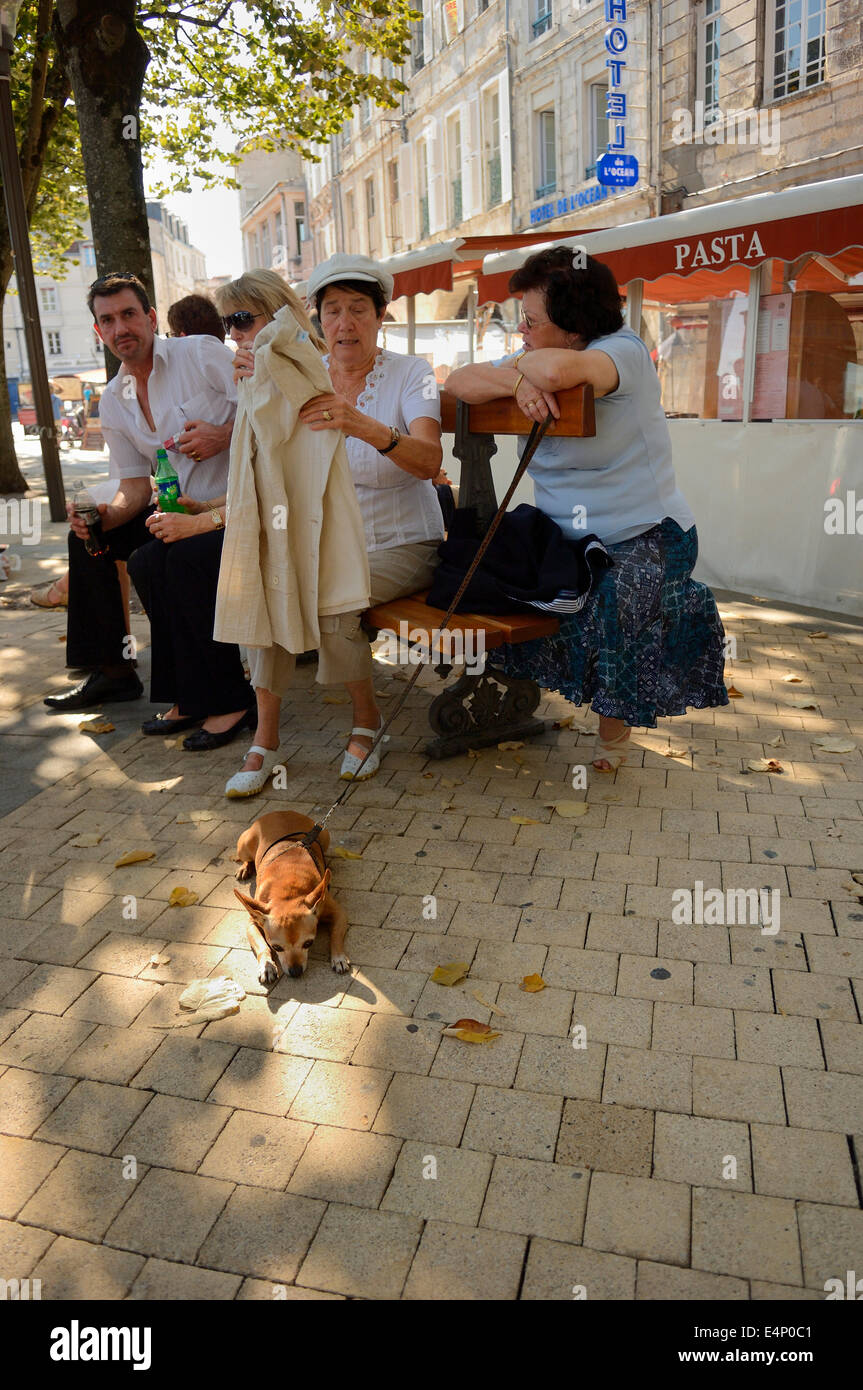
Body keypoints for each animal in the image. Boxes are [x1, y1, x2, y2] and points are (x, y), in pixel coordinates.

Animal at [233, 811, 348, 984]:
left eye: (308, 943)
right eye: (276, 947)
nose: (295, 971)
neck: (288, 893)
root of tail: (281, 811)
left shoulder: (338, 913)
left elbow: (336, 934)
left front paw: (339, 957)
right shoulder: (252, 922)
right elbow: (262, 946)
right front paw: (267, 966)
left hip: (325, 836)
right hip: (243, 847)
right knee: (246, 858)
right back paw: (245, 868)